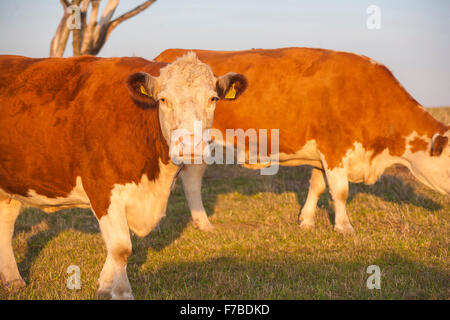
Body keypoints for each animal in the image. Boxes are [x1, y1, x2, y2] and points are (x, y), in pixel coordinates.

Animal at [0, 51, 246, 298]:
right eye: (163, 100)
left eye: (212, 99)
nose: (189, 146)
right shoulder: (102, 190)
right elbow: (120, 248)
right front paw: (122, 292)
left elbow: (116, 247)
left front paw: (105, 286)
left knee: (6, 224)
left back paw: (13, 280)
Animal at [155, 47, 450, 232]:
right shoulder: (335, 149)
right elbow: (340, 191)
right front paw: (344, 227)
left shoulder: (322, 153)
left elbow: (317, 186)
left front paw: (306, 221)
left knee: (191, 179)